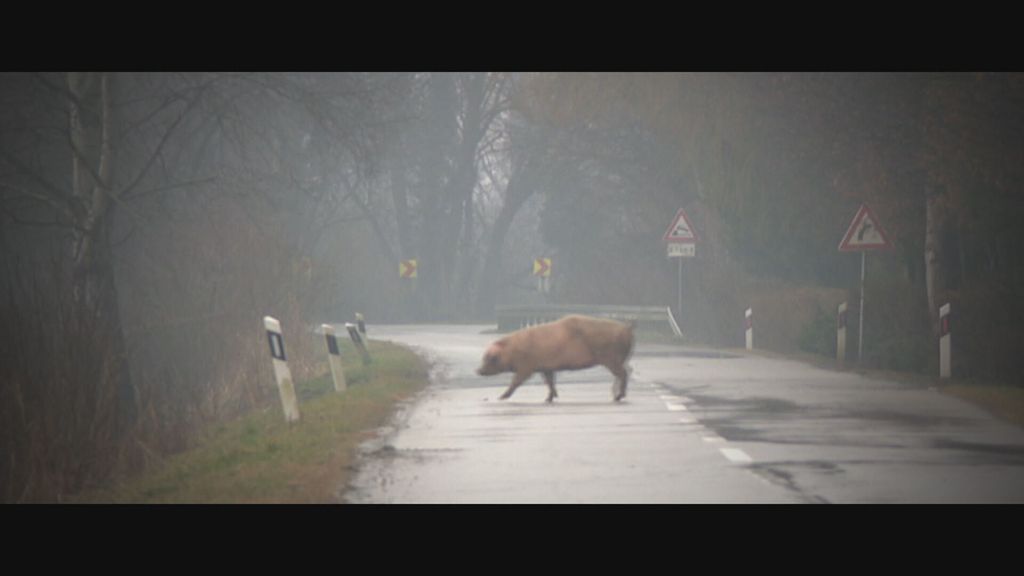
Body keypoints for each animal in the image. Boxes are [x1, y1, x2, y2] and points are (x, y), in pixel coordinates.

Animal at [477, 313, 630, 399]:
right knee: (626, 372)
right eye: (483, 357)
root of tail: (627, 330)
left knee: (623, 373)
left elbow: (516, 381)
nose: (477, 370)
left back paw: (618, 396)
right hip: (618, 359)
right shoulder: (546, 367)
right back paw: (616, 395)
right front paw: (550, 398)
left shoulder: (527, 366)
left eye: (489, 358)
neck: (511, 351)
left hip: (610, 358)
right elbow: (549, 381)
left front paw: (501, 397)